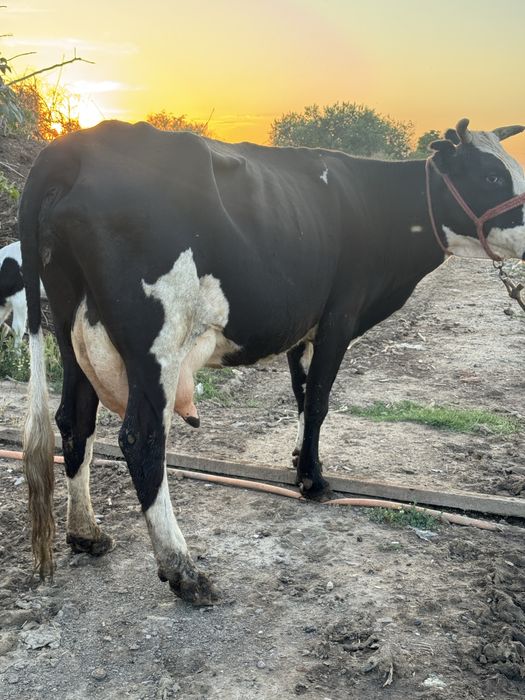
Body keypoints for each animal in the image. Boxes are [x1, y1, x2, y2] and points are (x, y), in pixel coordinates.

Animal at [19, 117, 525, 605]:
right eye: (491, 175)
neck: (378, 206)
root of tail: (76, 146)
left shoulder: (305, 326)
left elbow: (302, 395)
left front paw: (301, 460)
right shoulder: (339, 316)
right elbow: (319, 400)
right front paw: (314, 481)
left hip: (70, 325)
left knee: (74, 418)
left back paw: (86, 533)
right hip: (156, 340)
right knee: (142, 438)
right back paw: (184, 571)